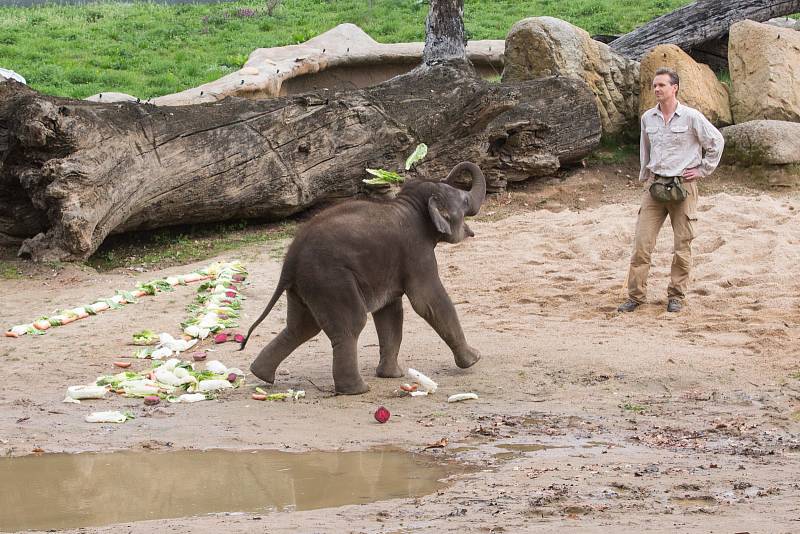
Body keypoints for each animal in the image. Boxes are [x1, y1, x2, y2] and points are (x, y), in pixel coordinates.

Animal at [239, 161, 488, 396]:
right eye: (465, 200)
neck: (410, 204)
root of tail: (289, 261)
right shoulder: (416, 251)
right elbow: (428, 301)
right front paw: (474, 359)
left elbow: (390, 312)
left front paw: (391, 376)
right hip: (329, 280)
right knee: (350, 323)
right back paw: (357, 390)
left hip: (305, 285)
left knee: (302, 327)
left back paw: (260, 375)